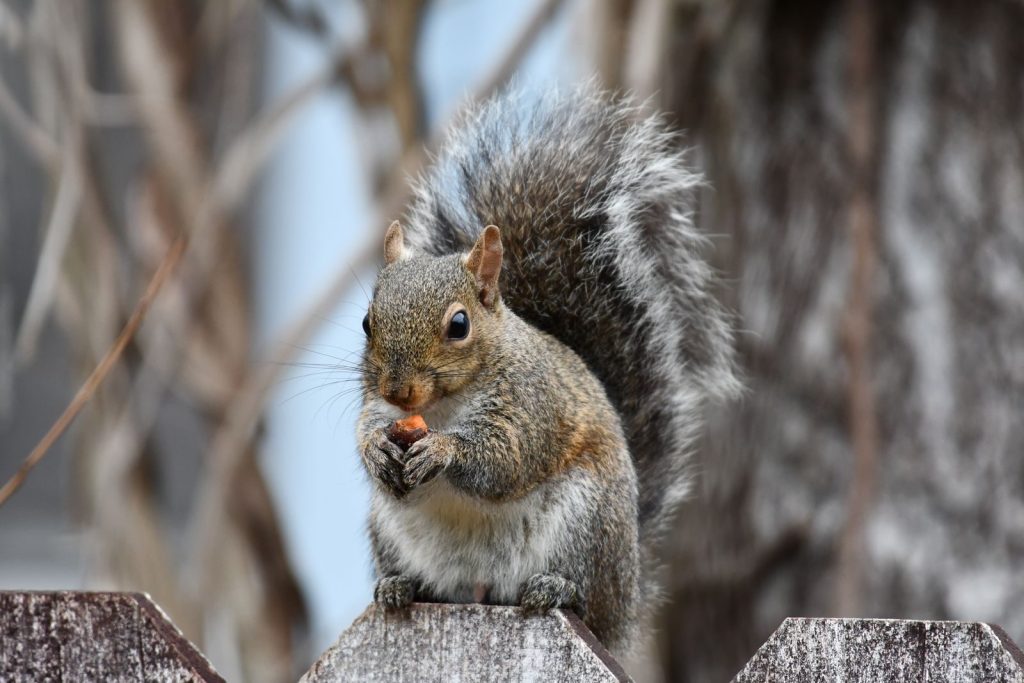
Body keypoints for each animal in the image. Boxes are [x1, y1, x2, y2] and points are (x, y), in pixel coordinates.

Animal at [356, 86, 739, 655]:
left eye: (459, 325)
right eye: (366, 322)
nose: (399, 391)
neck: (442, 406)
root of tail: (626, 597)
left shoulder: (530, 406)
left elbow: (506, 459)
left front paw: (443, 451)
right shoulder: (375, 406)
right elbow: (366, 432)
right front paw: (378, 451)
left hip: (586, 520)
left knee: (581, 594)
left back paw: (556, 588)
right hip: (390, 529)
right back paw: (401, 586)